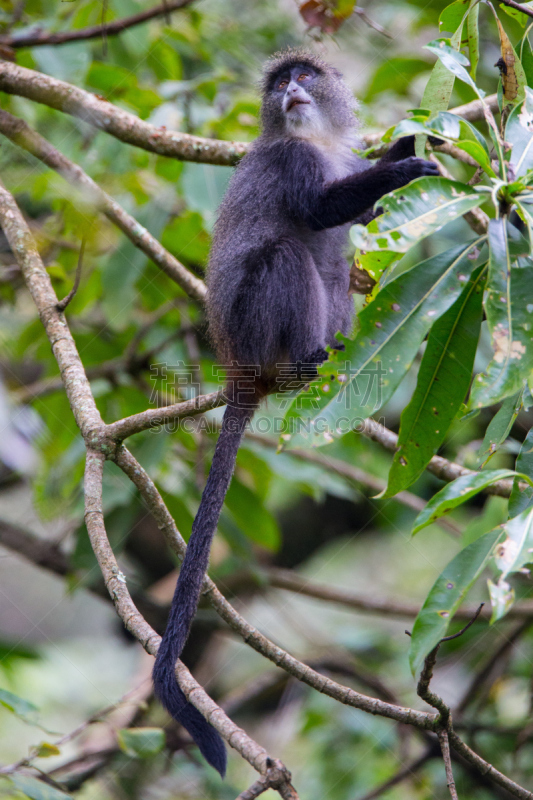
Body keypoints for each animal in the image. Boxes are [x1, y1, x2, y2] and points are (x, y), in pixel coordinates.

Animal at [152, 47, 438, 772]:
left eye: (304, 76)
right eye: (280, 81)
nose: (290, 91)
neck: (316, 141)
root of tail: (239, 371)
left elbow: (357, 224)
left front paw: (412, 139)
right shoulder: (292, 162)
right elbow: (318, 208)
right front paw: (404, 167)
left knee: (341, 269)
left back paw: (336, 351)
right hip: (258, 324)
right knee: (289, 251)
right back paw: (311, 358)